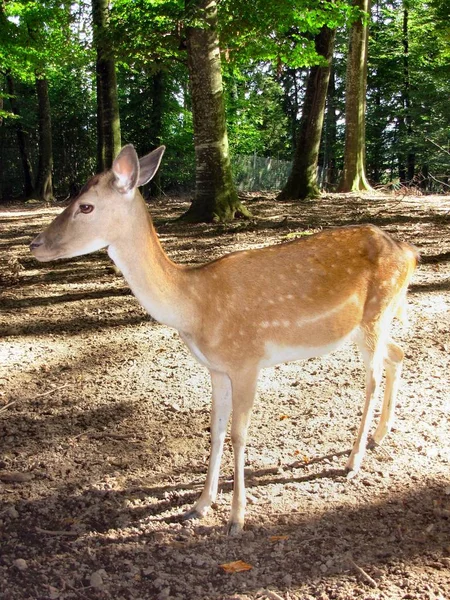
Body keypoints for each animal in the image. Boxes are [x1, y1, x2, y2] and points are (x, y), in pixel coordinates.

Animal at [30, 144, 418, 536]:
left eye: (86, 206)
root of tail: (409, 251)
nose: (35, 244)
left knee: (372, 378)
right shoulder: (216, 368)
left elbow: (238, 434)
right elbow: (215, 430)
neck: (195, 308)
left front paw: (236, 518)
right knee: (399, 354)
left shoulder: (247, 360)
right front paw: (200, 505)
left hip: (375, 315)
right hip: (366, 325)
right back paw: (381, 435)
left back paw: (354, 460)